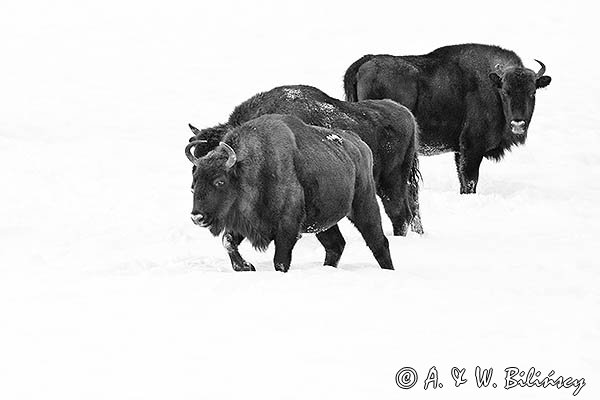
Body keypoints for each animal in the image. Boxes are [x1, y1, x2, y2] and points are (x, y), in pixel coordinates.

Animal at [185, 114, 396, 274]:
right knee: (336, 245)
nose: (197, 217)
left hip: (364, 206)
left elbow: (280, 260)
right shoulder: (242, 223)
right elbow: (228, 241)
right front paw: (246, 267)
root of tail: (361, 145)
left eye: (220, 181)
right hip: (322, 222)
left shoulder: (287, 228)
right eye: (194, 184)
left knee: (378, 242)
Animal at [342, 43, 552, 194]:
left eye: (532, 92)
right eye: (506, 91)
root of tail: (365, 63)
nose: (518, 123)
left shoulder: (459, 151)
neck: (493, 86)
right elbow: (469, 181)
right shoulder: (471, 148)